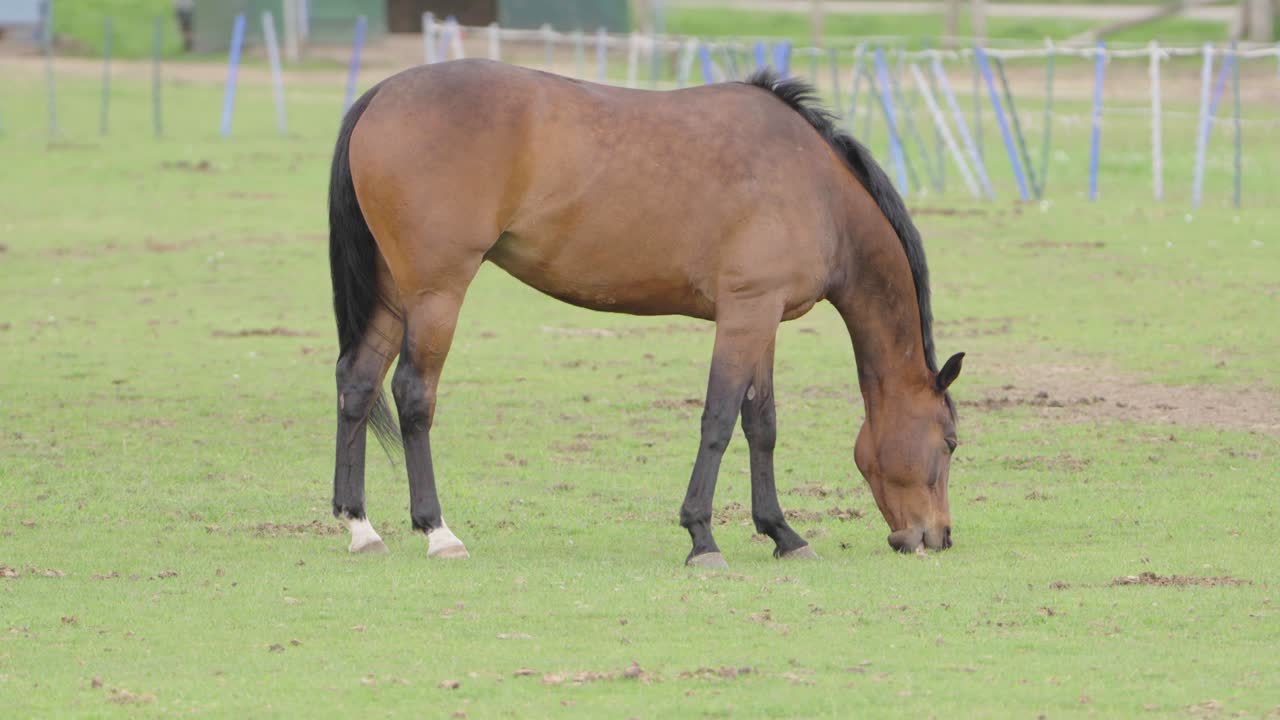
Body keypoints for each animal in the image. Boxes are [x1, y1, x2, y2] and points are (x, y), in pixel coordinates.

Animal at [327, 59, 963, 567]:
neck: (816, 186)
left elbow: (761, 425)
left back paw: (361, 527)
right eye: (951, 441)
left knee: (358, 382)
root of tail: (382, 92)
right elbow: (718, 420)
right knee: (413, 394)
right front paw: (702, 537)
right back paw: (438, 531)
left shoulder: (763, 318)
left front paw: (783, 533)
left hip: (393, 293)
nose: (937, 537)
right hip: (435, 293)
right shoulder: (745, 314)